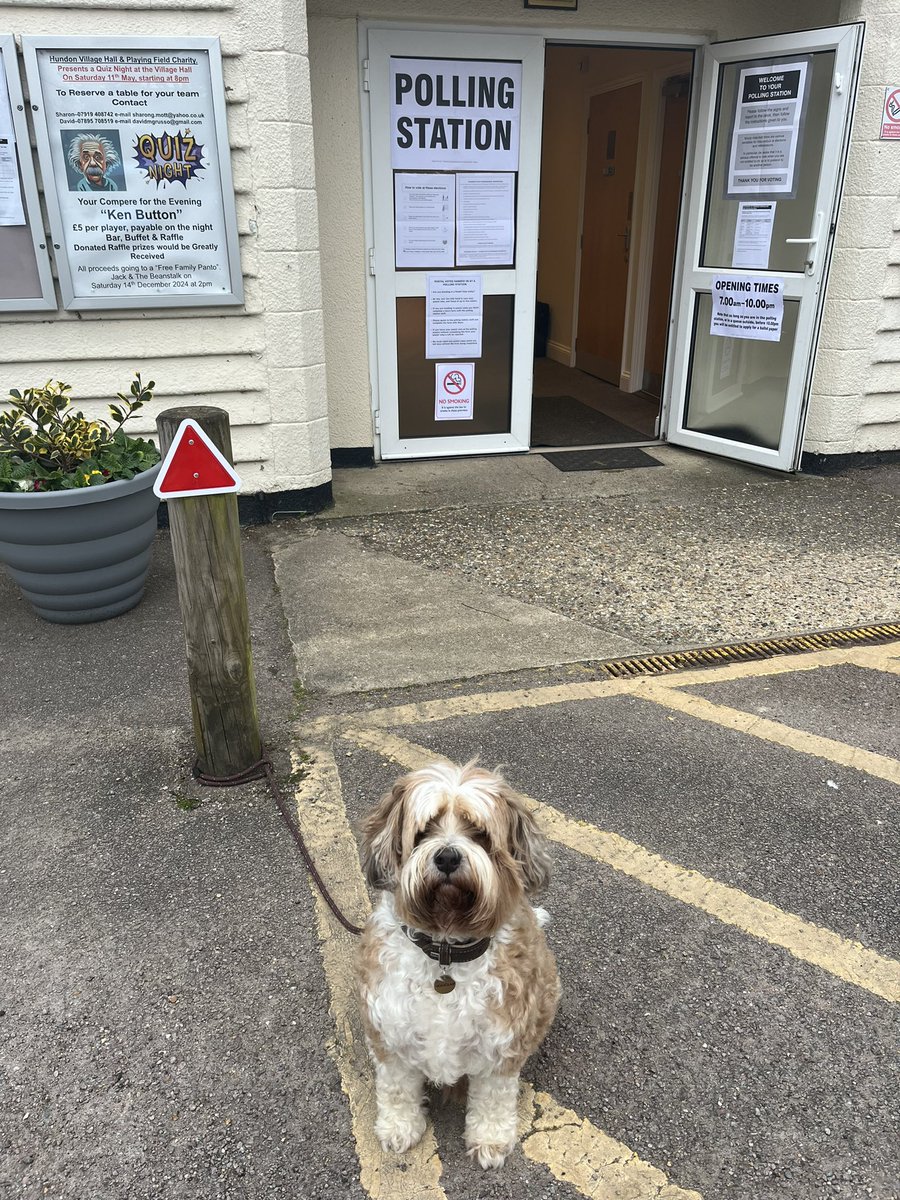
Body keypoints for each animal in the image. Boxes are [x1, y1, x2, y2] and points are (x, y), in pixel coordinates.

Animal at [355, 763, 561, 1166]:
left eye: (479, 833)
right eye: (423, 831)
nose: (448, 857)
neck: (445, 952)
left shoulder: (501, 1044)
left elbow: (494, 1096)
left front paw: (490, 1138)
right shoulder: (390, 1032)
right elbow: (397, 1087)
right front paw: (400, 1126)